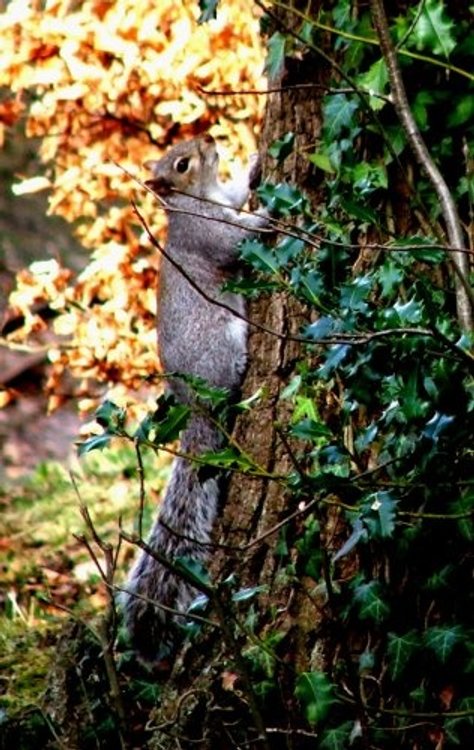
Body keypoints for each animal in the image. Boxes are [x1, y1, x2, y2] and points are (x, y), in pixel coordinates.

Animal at [122, 135, 268, 663]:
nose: (208, 138)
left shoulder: (225, 197)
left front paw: (255, 162)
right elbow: (237, 240)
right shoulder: (207, 231)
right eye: (182, 163)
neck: (201, 195)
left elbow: (241, 190)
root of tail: (196, 413)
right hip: (220, 349)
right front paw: (270, 212)